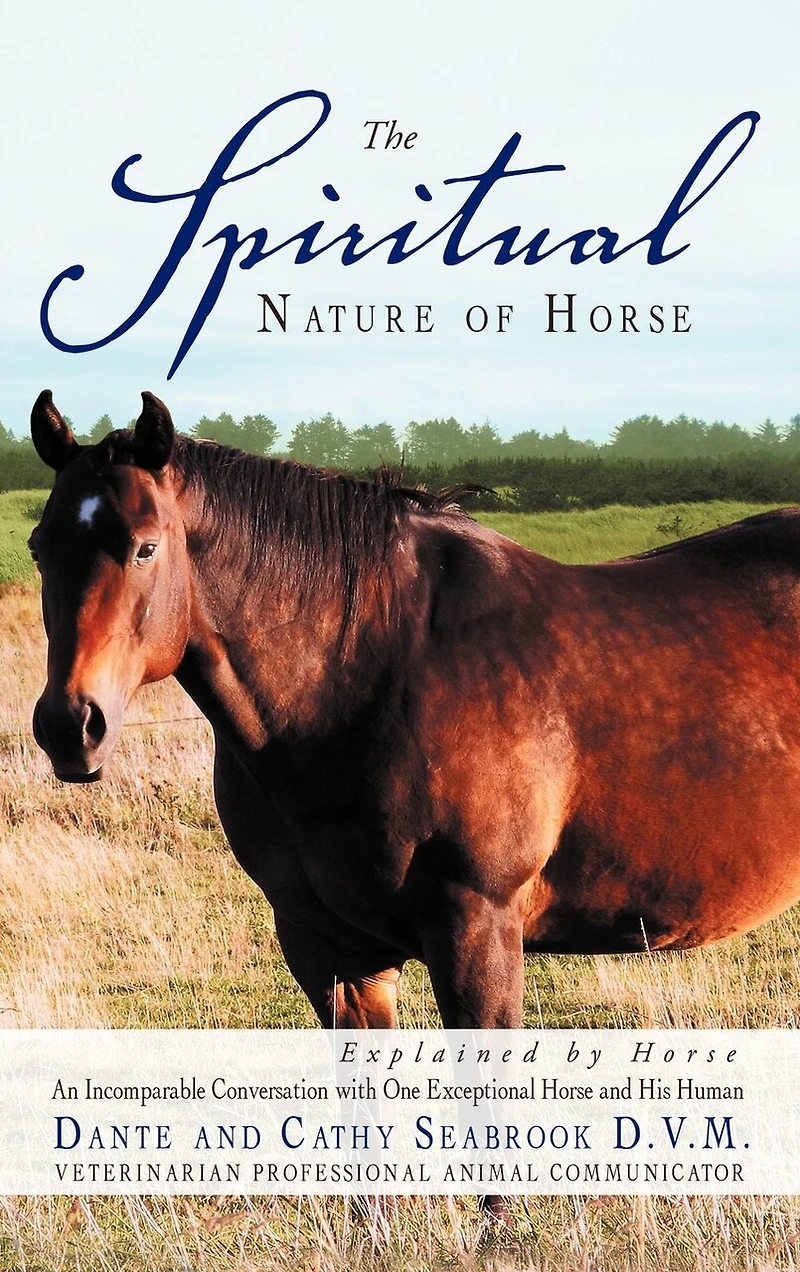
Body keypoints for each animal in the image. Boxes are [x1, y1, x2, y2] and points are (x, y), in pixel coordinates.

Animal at [28, 388, 800, 1033]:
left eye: (145, 546)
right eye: (39, 550)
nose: (70, 726)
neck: (365, 677)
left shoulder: (477, 933)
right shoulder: (332, 951)